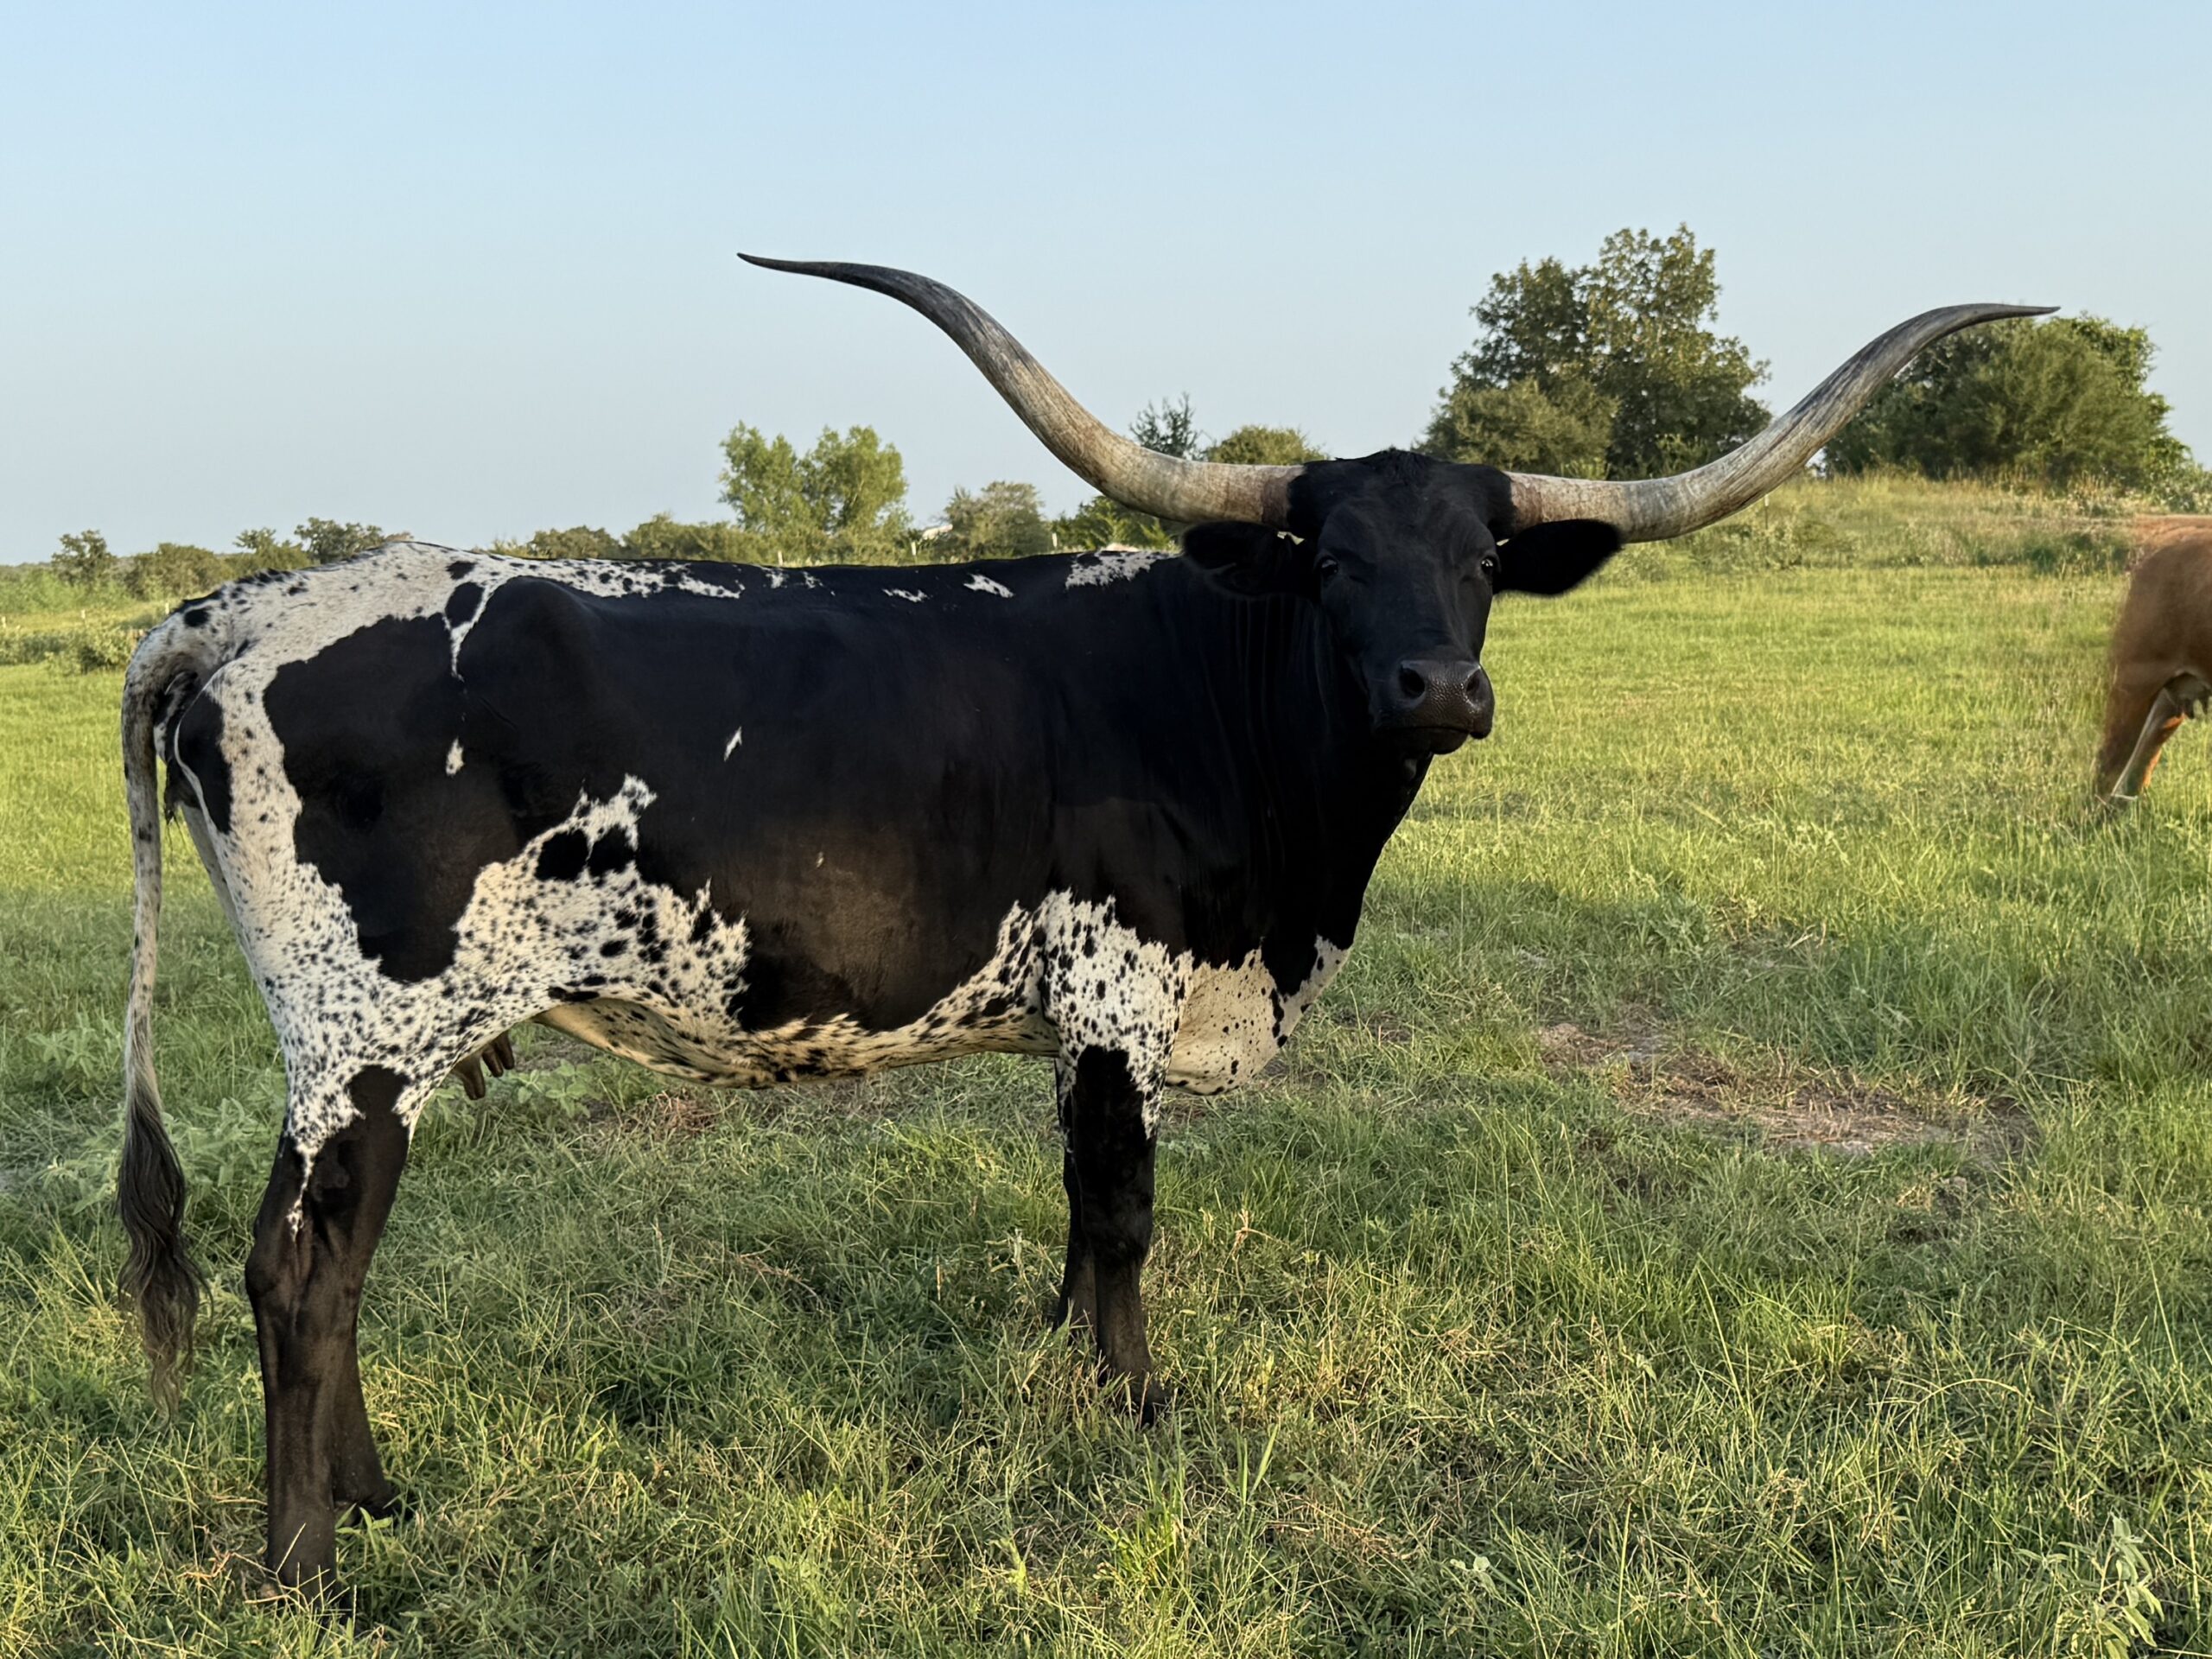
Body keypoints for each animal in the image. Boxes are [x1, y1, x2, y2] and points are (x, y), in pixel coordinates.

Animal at [114, 256, 2042, 1591]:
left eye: (1484, 559)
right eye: (1331, 562)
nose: (1438, 690)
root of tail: (229, 612)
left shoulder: (1073, 1017)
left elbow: (1065, 1213)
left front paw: (1059, 1375)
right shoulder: (1121, 990)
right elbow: (1120, 1213)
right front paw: (1136, 1412)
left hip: (385, 1047)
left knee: (340, 1259)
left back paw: (373, 1497)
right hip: (364, 1027)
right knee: (298, 1269)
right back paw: (305, 1562)